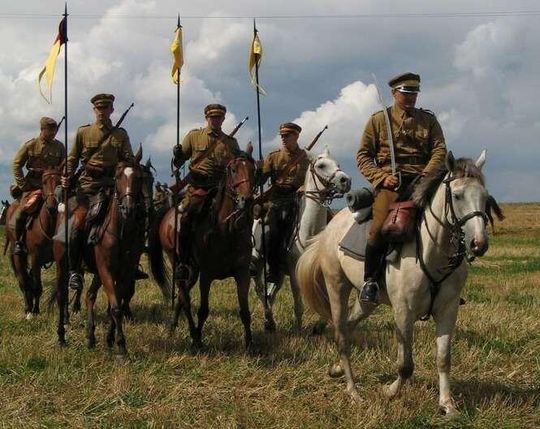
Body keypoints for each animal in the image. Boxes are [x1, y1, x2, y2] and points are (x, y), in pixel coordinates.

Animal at [4, 167, 62, 319]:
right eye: (44, 182)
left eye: (60, 181)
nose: (52, 206)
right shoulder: (35, 258)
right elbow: (37, 286)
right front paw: (35, 311)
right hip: (18, 257)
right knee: (23, 281)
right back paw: (28, 309)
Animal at [53, 155, 151, 354]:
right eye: (118, 177)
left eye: (139, 178)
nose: (129, 208)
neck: (121, 232)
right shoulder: (106, 270)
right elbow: (115, 308)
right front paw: (121, 347)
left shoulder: (125, 273)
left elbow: (116, 304)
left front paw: (110, 339)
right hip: (62, 266)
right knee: (62, 295)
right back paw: (61, 335)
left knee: (89, 295)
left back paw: (90, 337)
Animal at [149, 149, 256, 349]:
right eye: (234, 170)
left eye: (254, 170)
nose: (246, 200)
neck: (226, 230)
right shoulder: (207, 275)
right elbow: (203, 310)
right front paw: (198, 339)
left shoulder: (242, 273)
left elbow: (245, 310)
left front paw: (250, 344)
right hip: (177, 262)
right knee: (184, 296)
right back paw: (191, 333)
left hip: (193, 270)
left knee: (182, 296)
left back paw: (174, 326)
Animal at [251, 148, 351, 331]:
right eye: (321, 165)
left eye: (337, 164)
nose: (346, 181)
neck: (309, 231)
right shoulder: (293, 271)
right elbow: (298, 302)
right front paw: (298, 327)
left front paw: (322, 324)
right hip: (258, 264)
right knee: (261, 290)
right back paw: (269, 319)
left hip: (277, 273)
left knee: (271, 292)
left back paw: (270, 321)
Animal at [296, 150, 490, 416]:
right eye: (458, 195)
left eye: (485, 197)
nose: (478, 244)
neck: (433, 251)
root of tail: (331, 227)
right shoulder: (403, 311)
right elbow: (405, 364)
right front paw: (390, 391)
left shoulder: (448, 310)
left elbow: (443, 358)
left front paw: (447, 404)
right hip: (336, 286)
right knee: (342, 335)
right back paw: (353, 392)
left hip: (368, 301)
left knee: (350, 323)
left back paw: (336, 369)